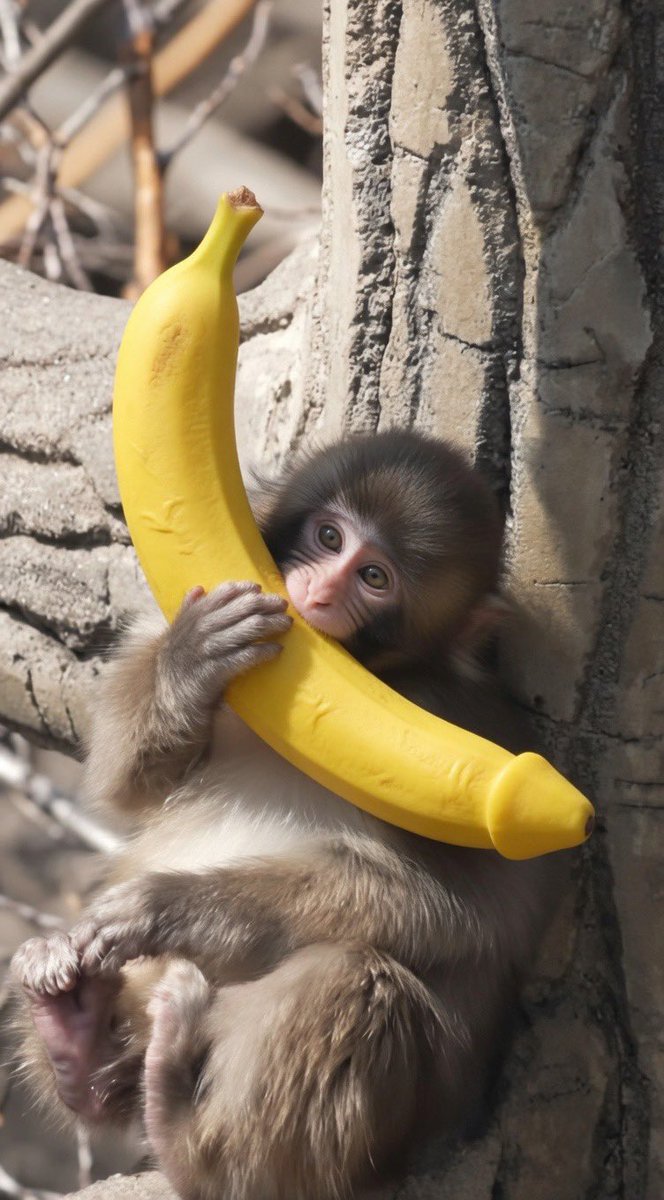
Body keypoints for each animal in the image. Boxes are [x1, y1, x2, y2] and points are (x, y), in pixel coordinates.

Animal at [12, 430, 559, 1200]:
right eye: (329, 537)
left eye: (375, 577)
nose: (319, 592)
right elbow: (125, 784)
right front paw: (191, 663)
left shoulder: (459, 740)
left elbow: (467, 909)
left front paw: (171, 907)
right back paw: (79, 1043)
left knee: (352, 980)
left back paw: (189, 1139)